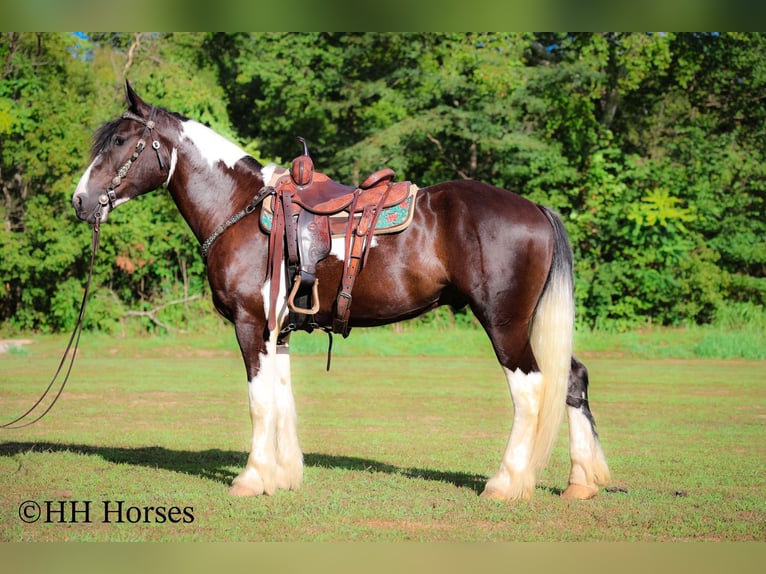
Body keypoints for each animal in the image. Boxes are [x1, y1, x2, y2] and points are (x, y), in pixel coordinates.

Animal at [71, 82, 610, 501]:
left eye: (120, 140)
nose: (78, 201)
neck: (240, 209)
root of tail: (535, 208)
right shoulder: (279, 330)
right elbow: (282, 397)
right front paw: (284, 476)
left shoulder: (250, 325)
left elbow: (259, 401)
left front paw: (251, 478)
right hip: (528, 323)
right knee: (572, 378)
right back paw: (582, 481)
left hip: (504, 324)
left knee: (532, 389)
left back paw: (506, 482)